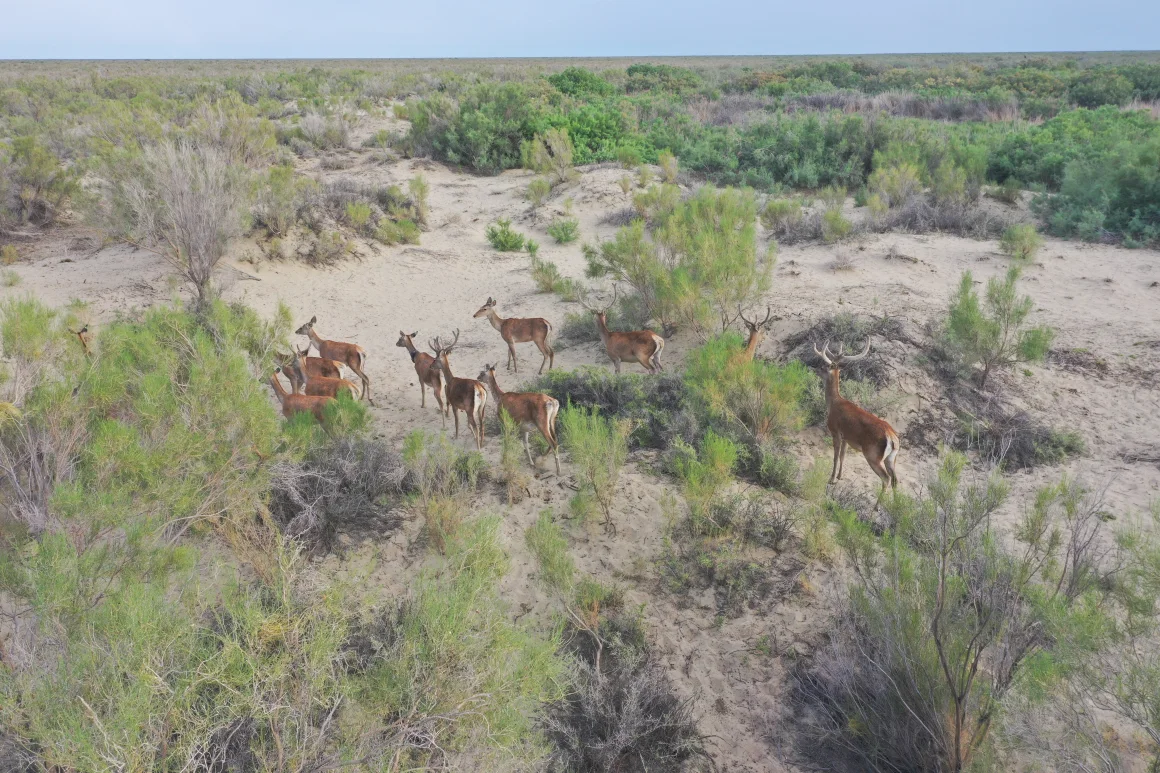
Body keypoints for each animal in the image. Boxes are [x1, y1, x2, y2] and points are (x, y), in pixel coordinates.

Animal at [812, 338, 900, 494]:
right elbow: (843, 456)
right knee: (895, 480)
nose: (814, 368)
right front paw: (839, 477)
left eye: (825, 365)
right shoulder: (846, 437)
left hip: (872, 454)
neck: (833, 403)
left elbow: (835, 457)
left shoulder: (835, 430)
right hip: (891, 458)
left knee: (886, 478)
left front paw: (831, 479)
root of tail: (892, 438)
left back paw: (878, 502)